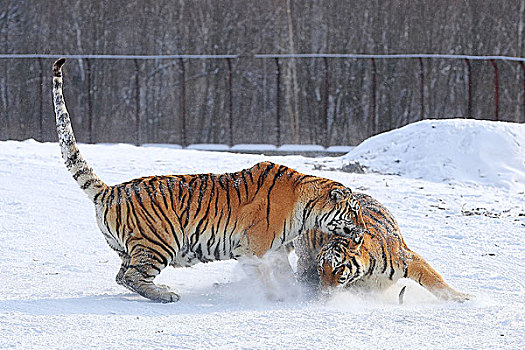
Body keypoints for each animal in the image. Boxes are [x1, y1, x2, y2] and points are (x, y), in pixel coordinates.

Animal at [52, 58, 364, 304]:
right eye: (353, 211)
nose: (362, 231)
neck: (305, 209)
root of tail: (111, 191)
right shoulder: (251, 249)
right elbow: (264, 276)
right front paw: (274, 297)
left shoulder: (275, 250)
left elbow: (283, 273)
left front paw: (289, 293)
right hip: (159, 242)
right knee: (132, 276)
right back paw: (166, 294)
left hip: (130, 248)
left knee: (121, 275)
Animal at [292, 193, 468, 302]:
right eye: (321, 269)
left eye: (338, 268)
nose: (324, 293)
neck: (370, 270)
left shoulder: (408, 258)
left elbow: (435, 280)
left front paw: (462, 298)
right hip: (304, 257)